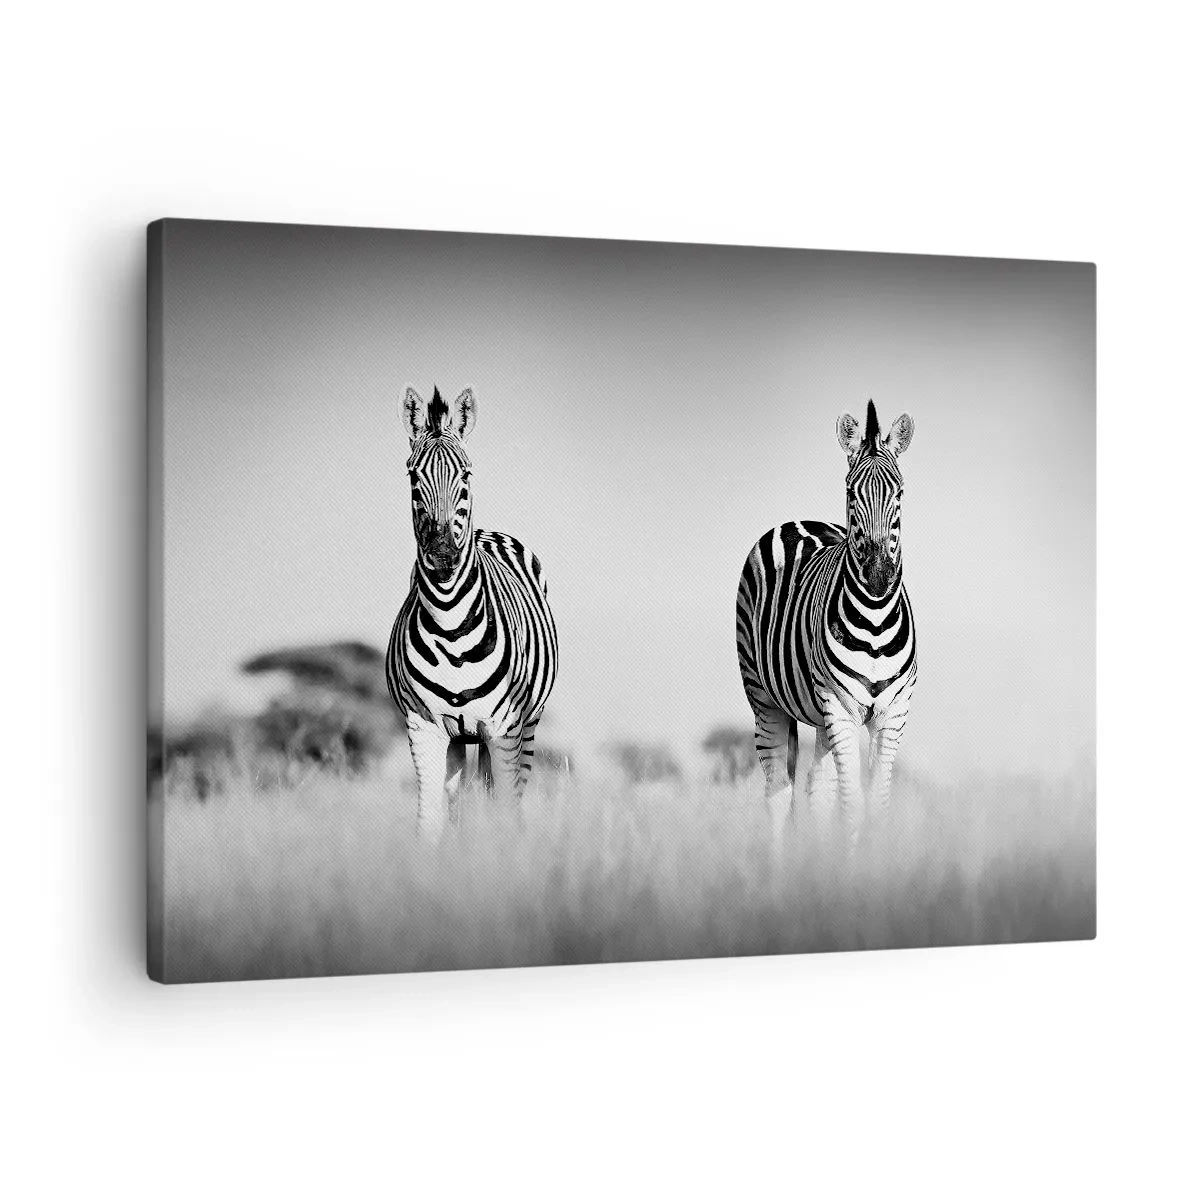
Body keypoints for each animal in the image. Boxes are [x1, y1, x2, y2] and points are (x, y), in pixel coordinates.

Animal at [386, 385, 558, 839]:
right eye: (413, 477)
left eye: (465, 476)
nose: (443, 554)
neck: (451, 627)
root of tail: (487, 532)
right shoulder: (424, 727)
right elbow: (430, 821)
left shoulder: (504, 730)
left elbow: (505, 811)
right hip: (461, 739)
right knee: (459, 801)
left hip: (526, 728)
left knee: (508, 797)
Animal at [735, 399, 916, 850]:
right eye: (851, 493)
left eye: (900, 493)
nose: (878, 575)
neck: (875, 620)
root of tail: (798, 521)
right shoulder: (841, 705)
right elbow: (852, 804)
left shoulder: (893, 713)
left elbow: (875, 805)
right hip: (763, 696)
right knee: (778, 792)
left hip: (819, 717)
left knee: (817, 790)